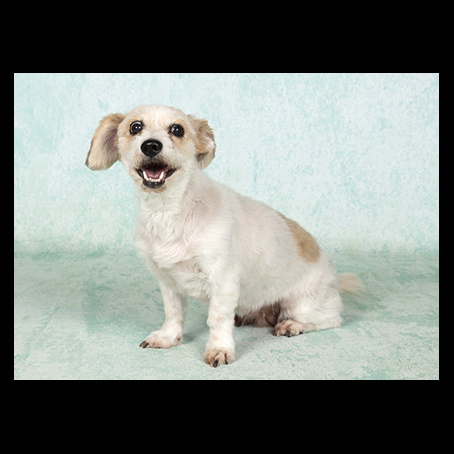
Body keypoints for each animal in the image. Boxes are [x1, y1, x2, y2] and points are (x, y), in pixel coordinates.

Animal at [86, 105, 363, 367]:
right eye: (135, 127)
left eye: (177, 130)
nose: (151, 145)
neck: (169, 211)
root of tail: (334, 279)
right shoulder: (168, 282)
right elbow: (173, 312)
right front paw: (168, 336)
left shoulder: (223, 279)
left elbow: (217, 319)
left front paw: (219, 349)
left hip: (301, 304)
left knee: (331, 319)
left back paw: (293, 325)